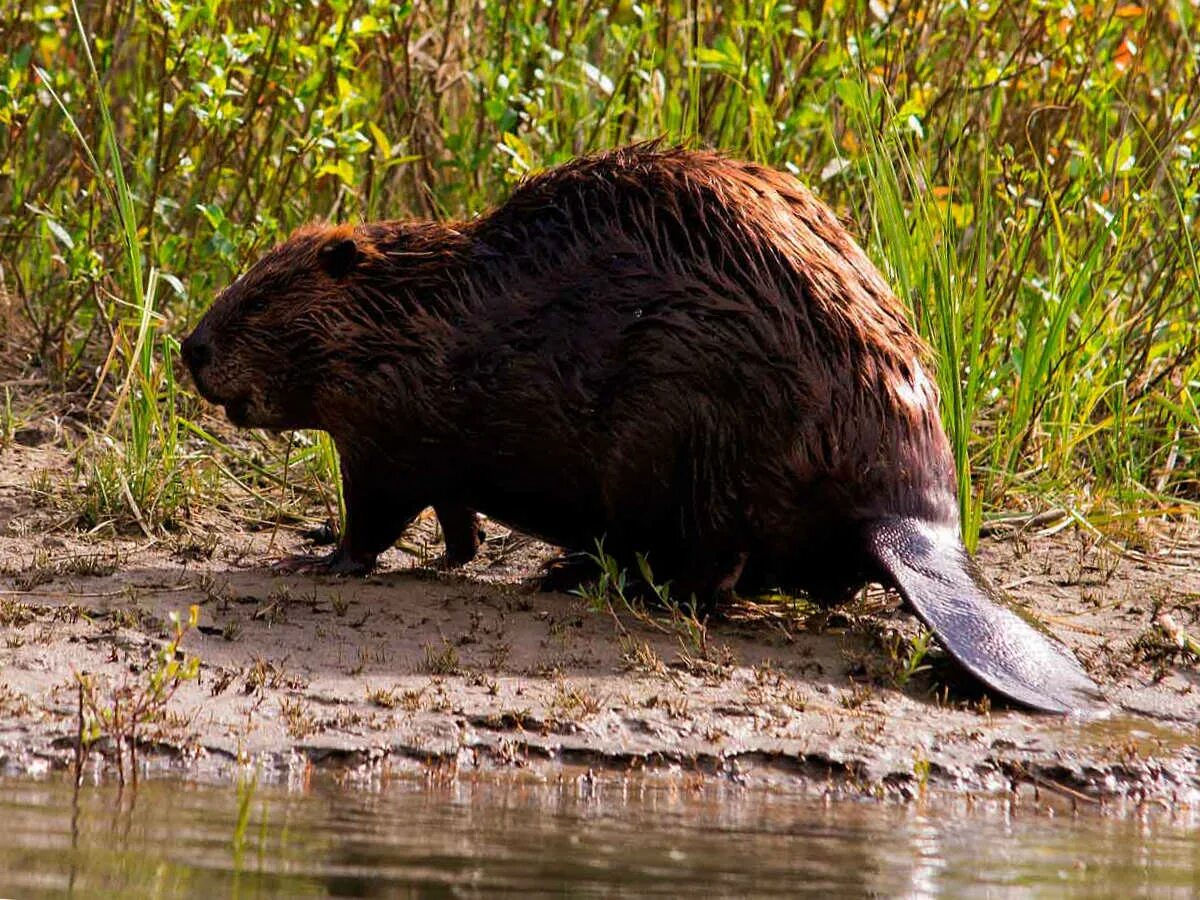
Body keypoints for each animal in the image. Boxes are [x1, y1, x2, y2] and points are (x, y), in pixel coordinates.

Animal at [184, 144, 1104, 715]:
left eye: (257, 299)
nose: (189, 348)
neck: (422, 312)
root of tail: (914, 523)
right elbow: (453, 519)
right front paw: (453, 552)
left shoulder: (388, 430)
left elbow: (375, 514)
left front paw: (313, 556)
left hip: (679, 433)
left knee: (704, 571)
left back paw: (571, 575)